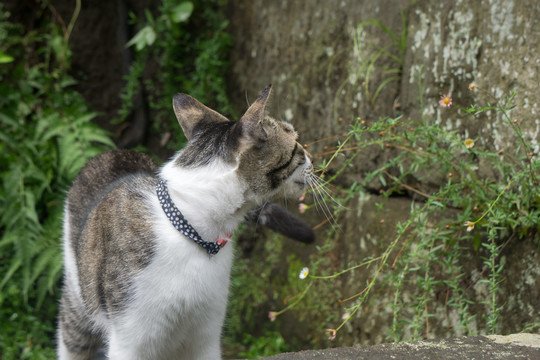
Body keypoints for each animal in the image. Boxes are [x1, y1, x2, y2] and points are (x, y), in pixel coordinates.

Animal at [57, 86, 314, 358]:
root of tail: (114, 152)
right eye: (296, 143)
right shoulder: (130, 340)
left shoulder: (206, 334)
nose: (312, 156)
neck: (195, 229)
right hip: (78, 300)